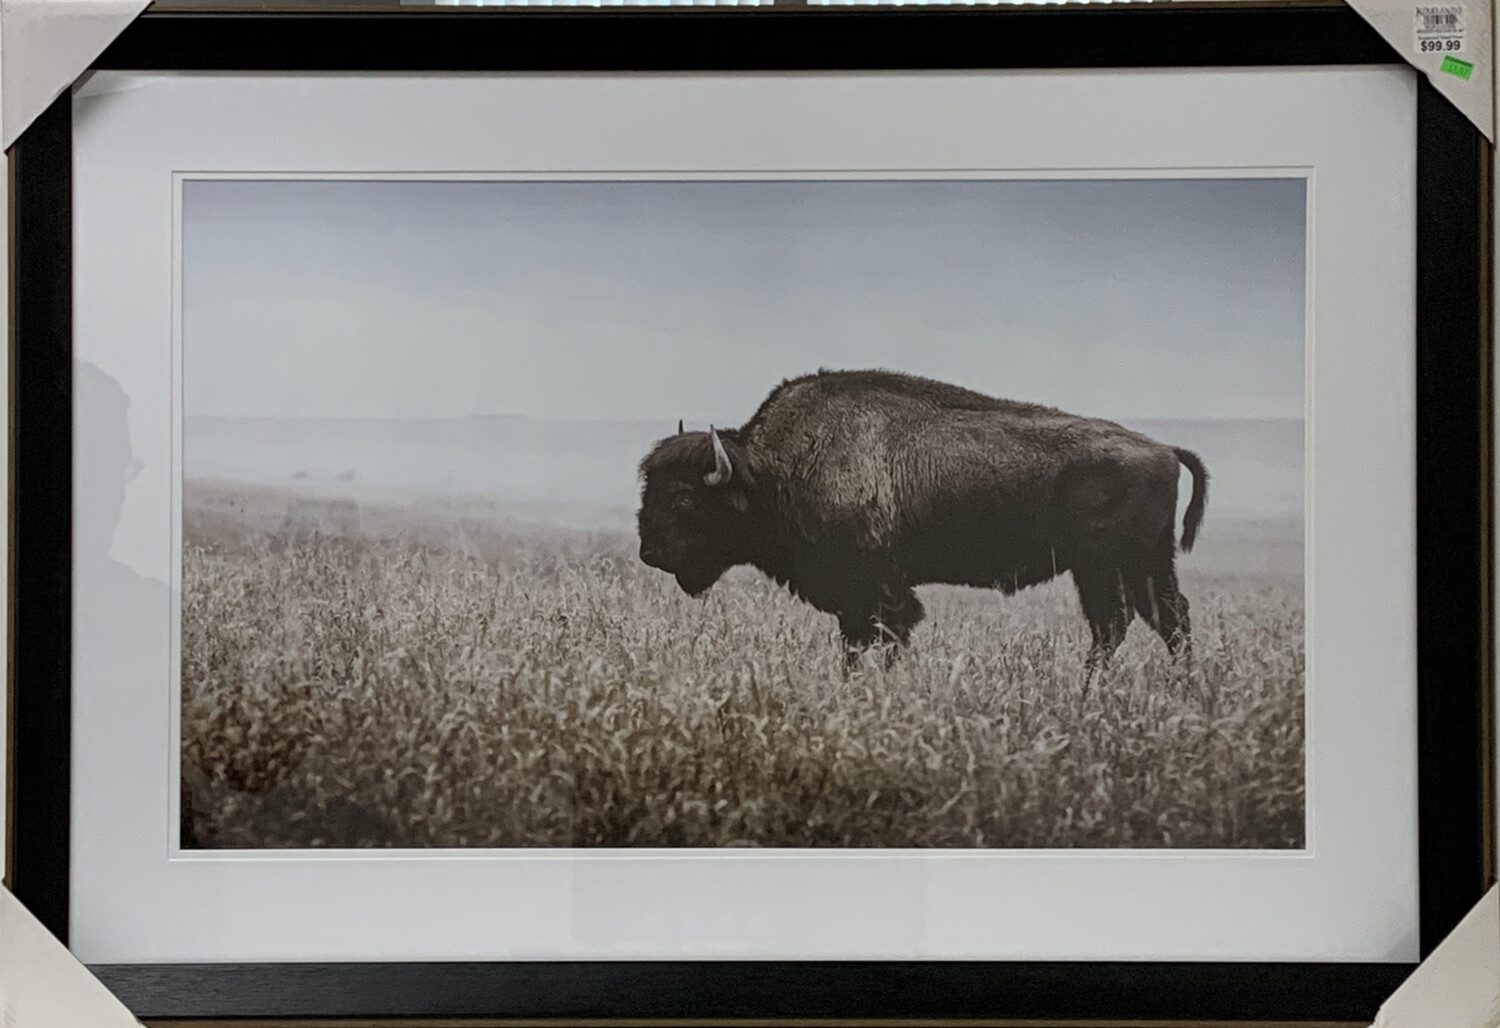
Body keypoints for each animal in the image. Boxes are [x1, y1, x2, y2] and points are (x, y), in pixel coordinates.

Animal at [636, 369, 1208, 676]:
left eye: (684, 498)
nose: (649, 553)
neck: (772, 470)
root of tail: (1163, 449)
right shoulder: (856, 600)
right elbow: (854, 645)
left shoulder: (878, 590)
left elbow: (883, 639)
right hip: (1131, 567)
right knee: (1152, 620)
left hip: (1113, 564)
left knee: (1136, 622)